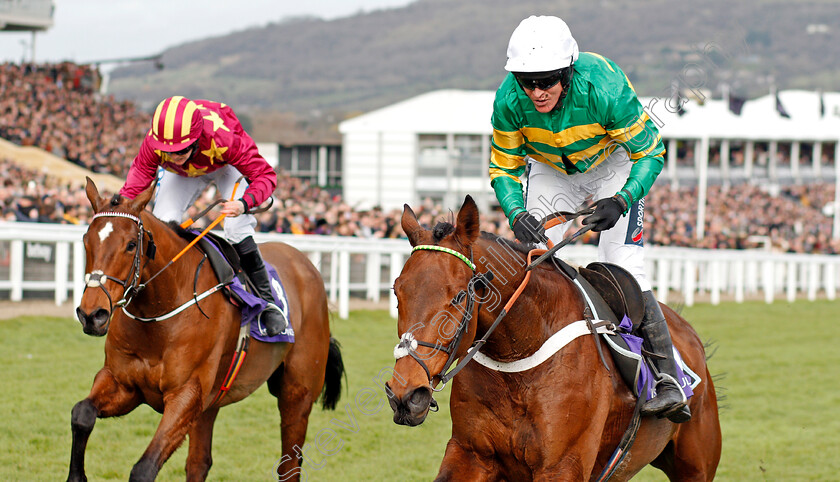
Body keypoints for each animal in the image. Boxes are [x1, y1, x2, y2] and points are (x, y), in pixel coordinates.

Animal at [66, 178, 342, 482]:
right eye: (86, 241)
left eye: (130, 245)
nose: (92, 314)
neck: (158, 316)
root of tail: (307, 265)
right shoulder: (123, 383)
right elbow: (81, 413)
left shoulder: (186, 395)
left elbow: (144, 468)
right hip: (212, 402)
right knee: (199, 462)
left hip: (298, 392)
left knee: (289, 465)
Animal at [388, 196, 720, 482]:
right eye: (396, 290)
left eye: (458, 296)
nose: (406, 395)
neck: (518, 359)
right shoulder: (471, 453)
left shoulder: (563, 466)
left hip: (695, 466)